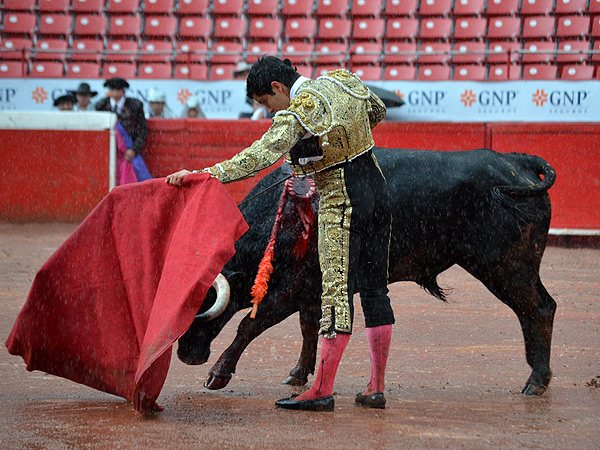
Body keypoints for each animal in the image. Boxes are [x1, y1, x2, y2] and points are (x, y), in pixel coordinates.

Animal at [178, 147, 557, 396]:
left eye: (203, 307)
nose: (186, 356)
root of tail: (516, 162)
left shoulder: (294, 288)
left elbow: (251, 324)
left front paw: (218, 374)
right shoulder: (311, 289)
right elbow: (308, 327)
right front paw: (299, 374)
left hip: (507, 266)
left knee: (540, 309)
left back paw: (536, 381)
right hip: (507, 268)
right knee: (532, 311)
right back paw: (537, 370)